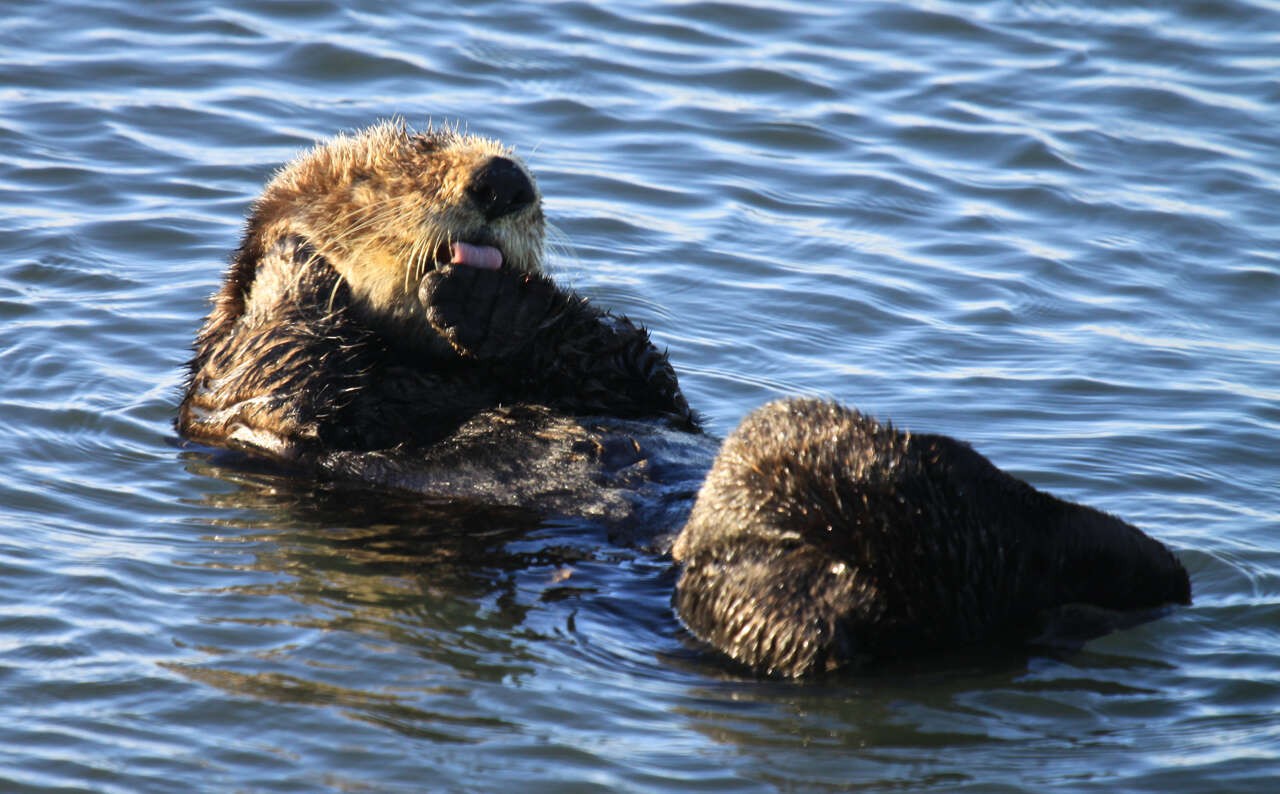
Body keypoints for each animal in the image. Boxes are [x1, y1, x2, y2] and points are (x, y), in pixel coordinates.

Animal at [177, 122, 1187, 676]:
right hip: (767, 569)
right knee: (817, 621)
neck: (438, 372)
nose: (503, 180)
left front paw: (495, 300)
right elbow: (279, 369)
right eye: (387, 176)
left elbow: (630, 371)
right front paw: (295, 258)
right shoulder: (236, 406)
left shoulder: (630, 389)